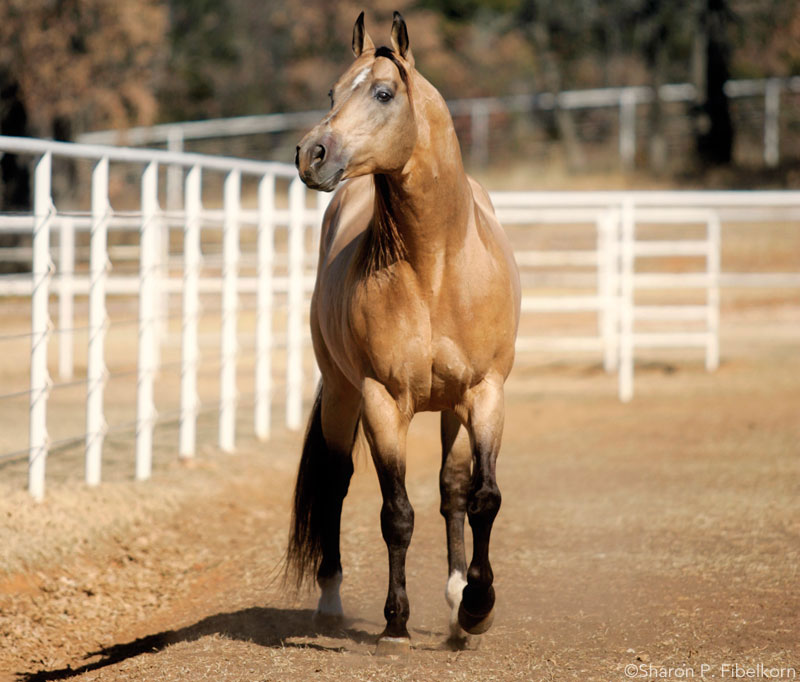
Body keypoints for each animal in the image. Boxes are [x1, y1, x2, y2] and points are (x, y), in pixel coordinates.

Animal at [290, 9, 520, 648]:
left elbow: (481, 497)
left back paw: (456, 597)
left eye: (384, 93)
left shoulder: (485, 394)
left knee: (451, 489)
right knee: (337, 481)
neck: (434, 267)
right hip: (342, 395)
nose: (312, 154)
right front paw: (396, 624)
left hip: (449, 408)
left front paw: (477, 606)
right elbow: (395, 514)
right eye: (332, 93)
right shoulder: (382, 400)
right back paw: (331, 600)